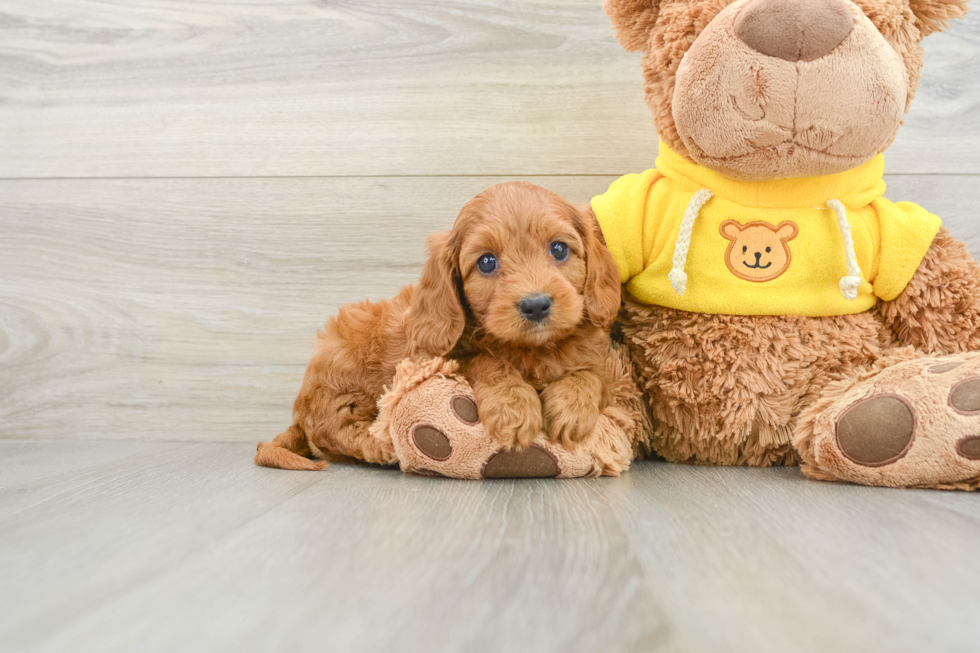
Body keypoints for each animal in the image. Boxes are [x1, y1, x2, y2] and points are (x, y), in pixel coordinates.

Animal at [253, 181, 620, 472]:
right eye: (487, 262)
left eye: (558, 249)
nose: (536, 305)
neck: (533, 349)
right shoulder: (446, 355)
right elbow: (488, 361)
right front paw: (513, 408)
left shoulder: (598, 355)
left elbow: (592, 374)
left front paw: (572, 408)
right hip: (343, 364)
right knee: (330, 431)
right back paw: (380, 447)